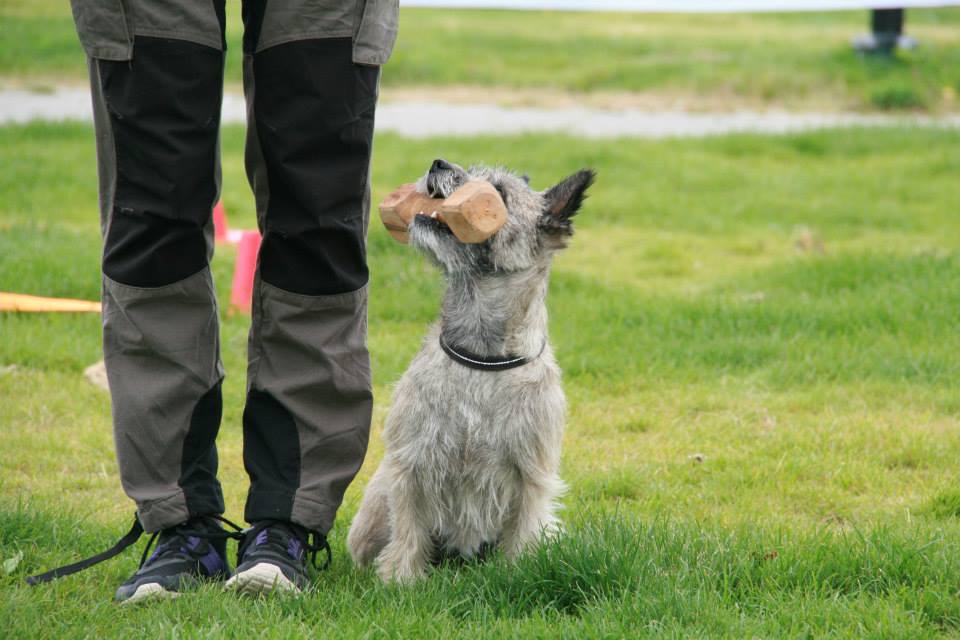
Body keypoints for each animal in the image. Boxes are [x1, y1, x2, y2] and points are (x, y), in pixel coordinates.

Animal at [348, 158, 596, 584]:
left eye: (498, 191)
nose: (438, 162)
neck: (482, 357)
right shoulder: (412, 460)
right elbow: (409, 523)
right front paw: (400, 579)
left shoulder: (532, 473)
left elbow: (523, 526)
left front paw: (517, 572)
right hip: (375, 506)